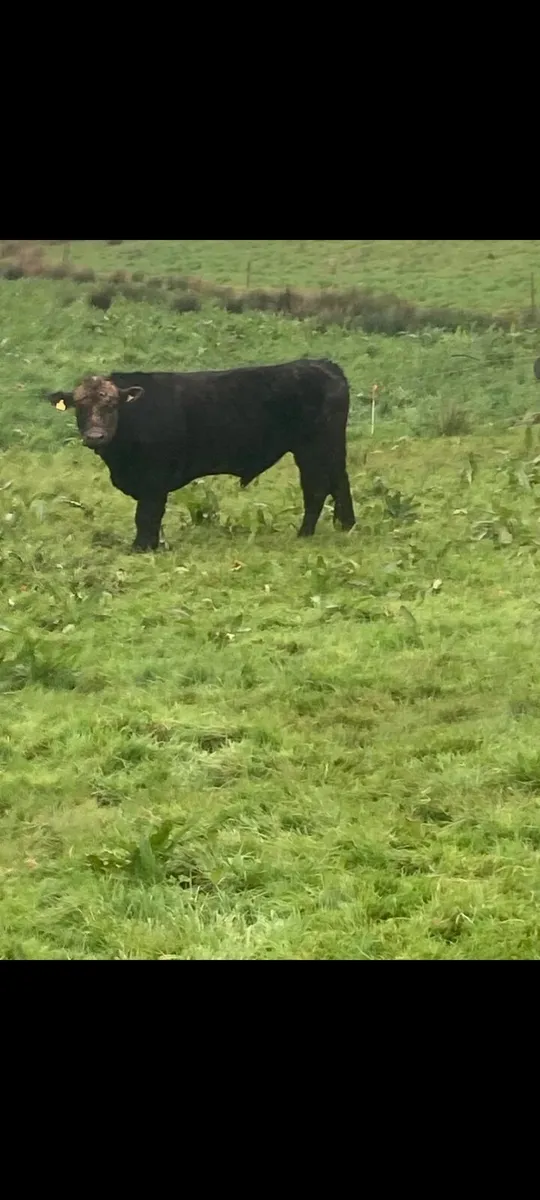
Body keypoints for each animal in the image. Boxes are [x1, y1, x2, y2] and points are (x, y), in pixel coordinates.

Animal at [47, 359, 356, 551]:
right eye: (80, 407)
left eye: (112, 405)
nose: (95, 435)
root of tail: (322, 364)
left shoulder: (154, 479)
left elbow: (146, 516)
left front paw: (142, 548)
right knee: (339, 482)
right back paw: (346, 526)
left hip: (315, 447)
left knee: (317, 488)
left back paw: (305, 534)